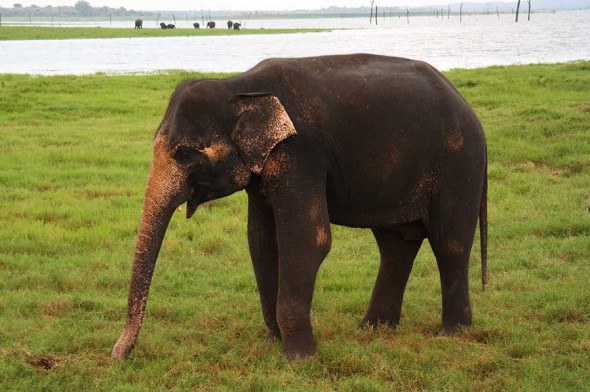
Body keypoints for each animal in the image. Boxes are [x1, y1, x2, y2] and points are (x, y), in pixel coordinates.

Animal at [112, 52, 490, 362]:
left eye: (186, 154)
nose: (118, 356)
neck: (239, 86)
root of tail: (467, 106)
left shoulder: (300, 154)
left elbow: (309, 240)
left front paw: (300, 359)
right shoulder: (267, 169)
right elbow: (261, 241)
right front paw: (275, 342)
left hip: (458, 162)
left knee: (450, 242)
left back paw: (451, 335)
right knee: (396, 243)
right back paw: (372, 328)